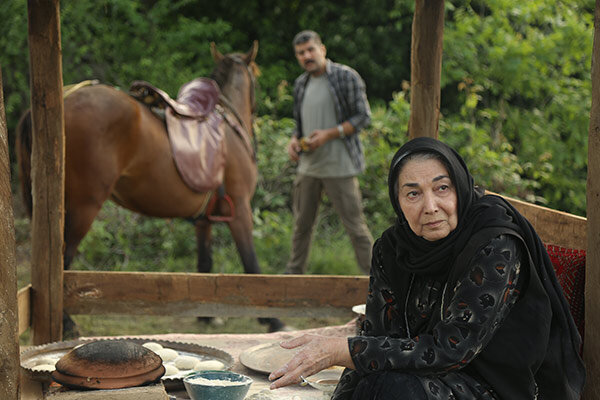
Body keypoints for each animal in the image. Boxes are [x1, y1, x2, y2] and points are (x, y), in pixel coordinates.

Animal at [16, 43, 284, 332]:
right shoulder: (240, 210)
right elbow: (252, 263)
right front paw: (273, 319)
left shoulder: (204, 220)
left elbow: (205, 262)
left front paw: (207, 315)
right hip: (82, 208)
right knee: (61, 261)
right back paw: (66, 323)